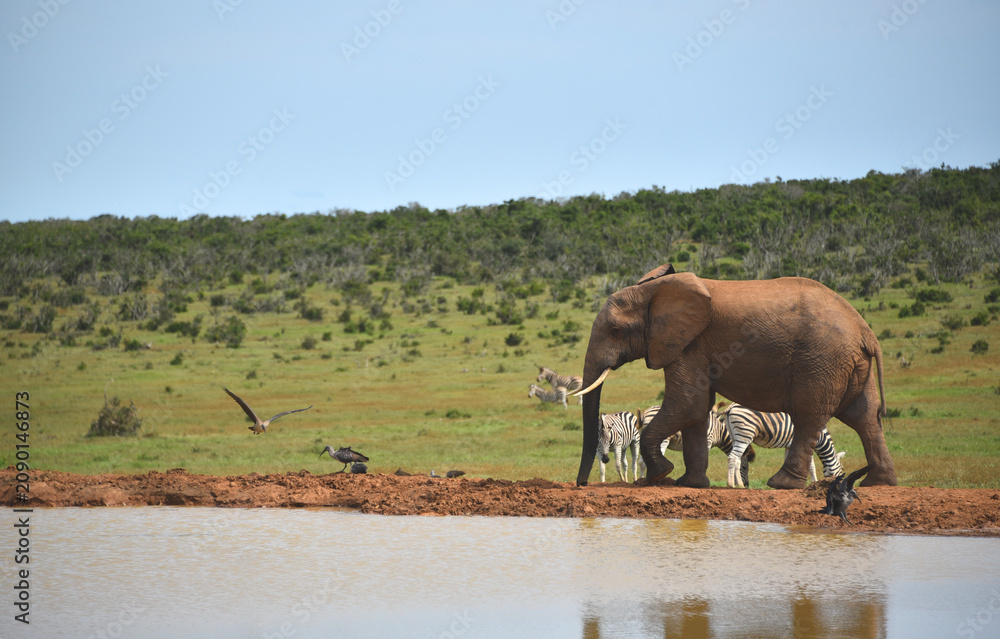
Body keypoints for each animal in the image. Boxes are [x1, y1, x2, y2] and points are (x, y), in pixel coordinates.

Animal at [573, 263, 897, 490]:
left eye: (615, 331)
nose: (581, 484)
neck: (655, 290)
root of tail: (865, 330)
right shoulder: (690, 344)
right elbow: (695, 409)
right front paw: (690, 484)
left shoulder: (690, 342)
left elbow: (687, 404)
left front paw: (662, 474)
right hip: (847, 363)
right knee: (864, 417)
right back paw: (878, 482)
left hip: (823, 359)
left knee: (811, 415)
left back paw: (781, 485)